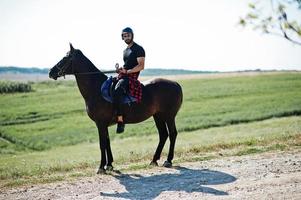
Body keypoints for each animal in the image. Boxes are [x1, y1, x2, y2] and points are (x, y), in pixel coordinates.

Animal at [48, 44, 183, 173]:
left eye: (65, 58)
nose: (50, 72)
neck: (96, 89)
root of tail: (176, 84)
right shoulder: (104, 124)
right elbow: (107, 142)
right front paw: (109, 165)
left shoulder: (100, 123)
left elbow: (102, 144)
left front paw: (101, 167)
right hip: (158, 116)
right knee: (163, 134)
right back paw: (154, 160)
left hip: (169, 116)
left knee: (172, 134)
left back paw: (168, 160)